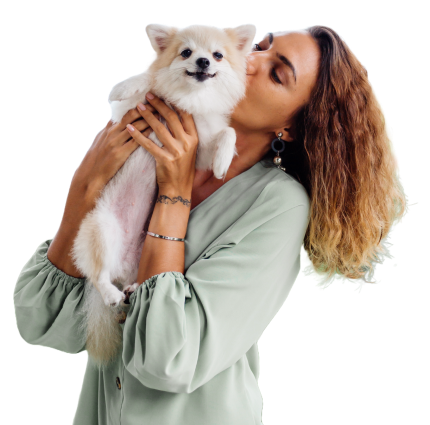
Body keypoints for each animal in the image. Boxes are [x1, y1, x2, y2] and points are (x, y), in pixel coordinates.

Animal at [72, 23, 256, 366]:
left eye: (217, 55)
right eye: (186, 52)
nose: (203, 61)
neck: (189, 101)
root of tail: (122, 265)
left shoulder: (199, 148)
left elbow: (227, 133)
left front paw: (223, 163)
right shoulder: (127, 116)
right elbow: (146, 83)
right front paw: (131, 84)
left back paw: (131, 287)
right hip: (102, 227)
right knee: (98, 275)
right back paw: (111, 292)